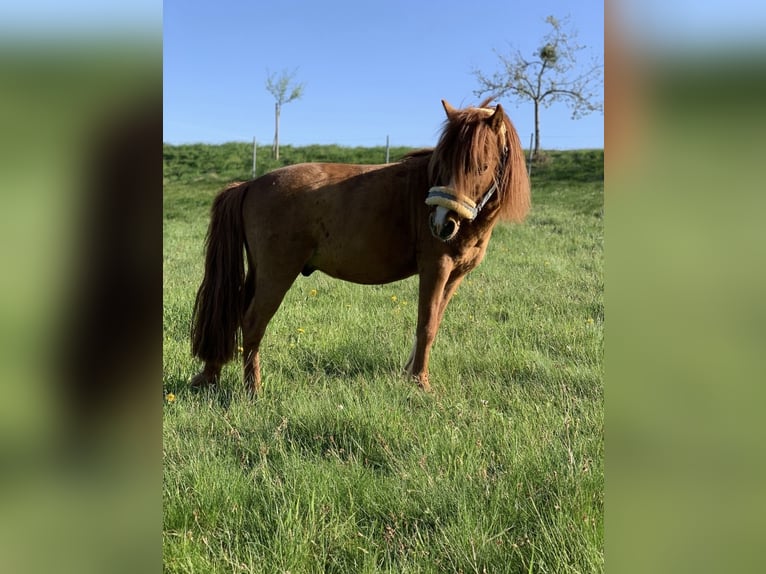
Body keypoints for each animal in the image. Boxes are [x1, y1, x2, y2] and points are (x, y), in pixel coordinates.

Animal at [190, 98, 530, 393]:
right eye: (442, 163)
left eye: (481, 166)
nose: (441, 223)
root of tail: (250, 184)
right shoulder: (436, 268)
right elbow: (426, 325)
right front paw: (420, 383)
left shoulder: (455, 275)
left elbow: (432, 323)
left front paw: (409, 374)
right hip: (276, 274)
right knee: (252, 322)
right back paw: (253, 390)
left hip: (258, 273)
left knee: (232, 314)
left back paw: (210, 375)